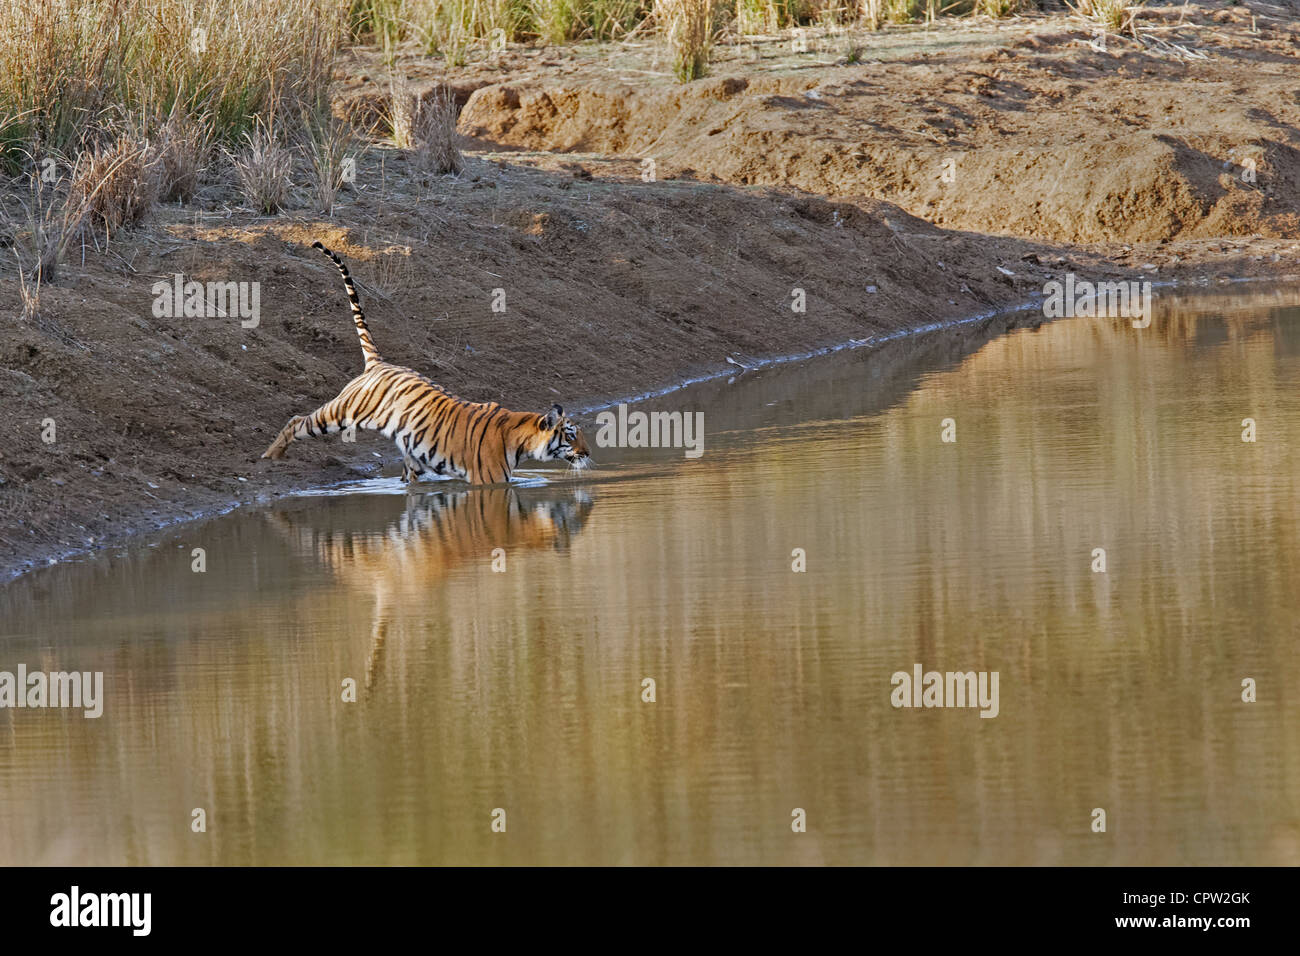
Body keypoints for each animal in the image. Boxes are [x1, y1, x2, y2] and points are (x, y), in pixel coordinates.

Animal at [261, 243, 592, 481]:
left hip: (412, 452)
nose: (588, 453)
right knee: (297, 420)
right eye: (571, 435)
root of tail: (379, 363)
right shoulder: (489, 483)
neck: (520, 438)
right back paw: (270, 456)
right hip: (342, 412)